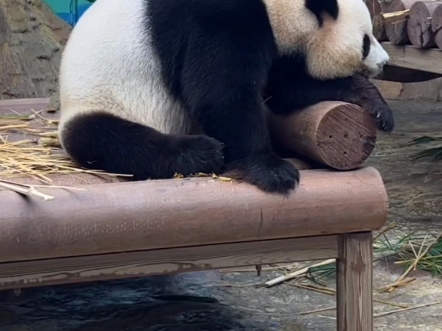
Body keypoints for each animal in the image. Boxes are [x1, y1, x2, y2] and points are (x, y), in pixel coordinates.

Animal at [57, 0, 394, 195]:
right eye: (366, 41)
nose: (385, 62)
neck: (274, 5)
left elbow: (284, 89)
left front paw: (374, 103)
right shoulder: (219, 18)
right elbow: (221, 93)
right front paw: (272, 170)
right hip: (99, 102)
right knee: (111, 139)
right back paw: (201, 152)